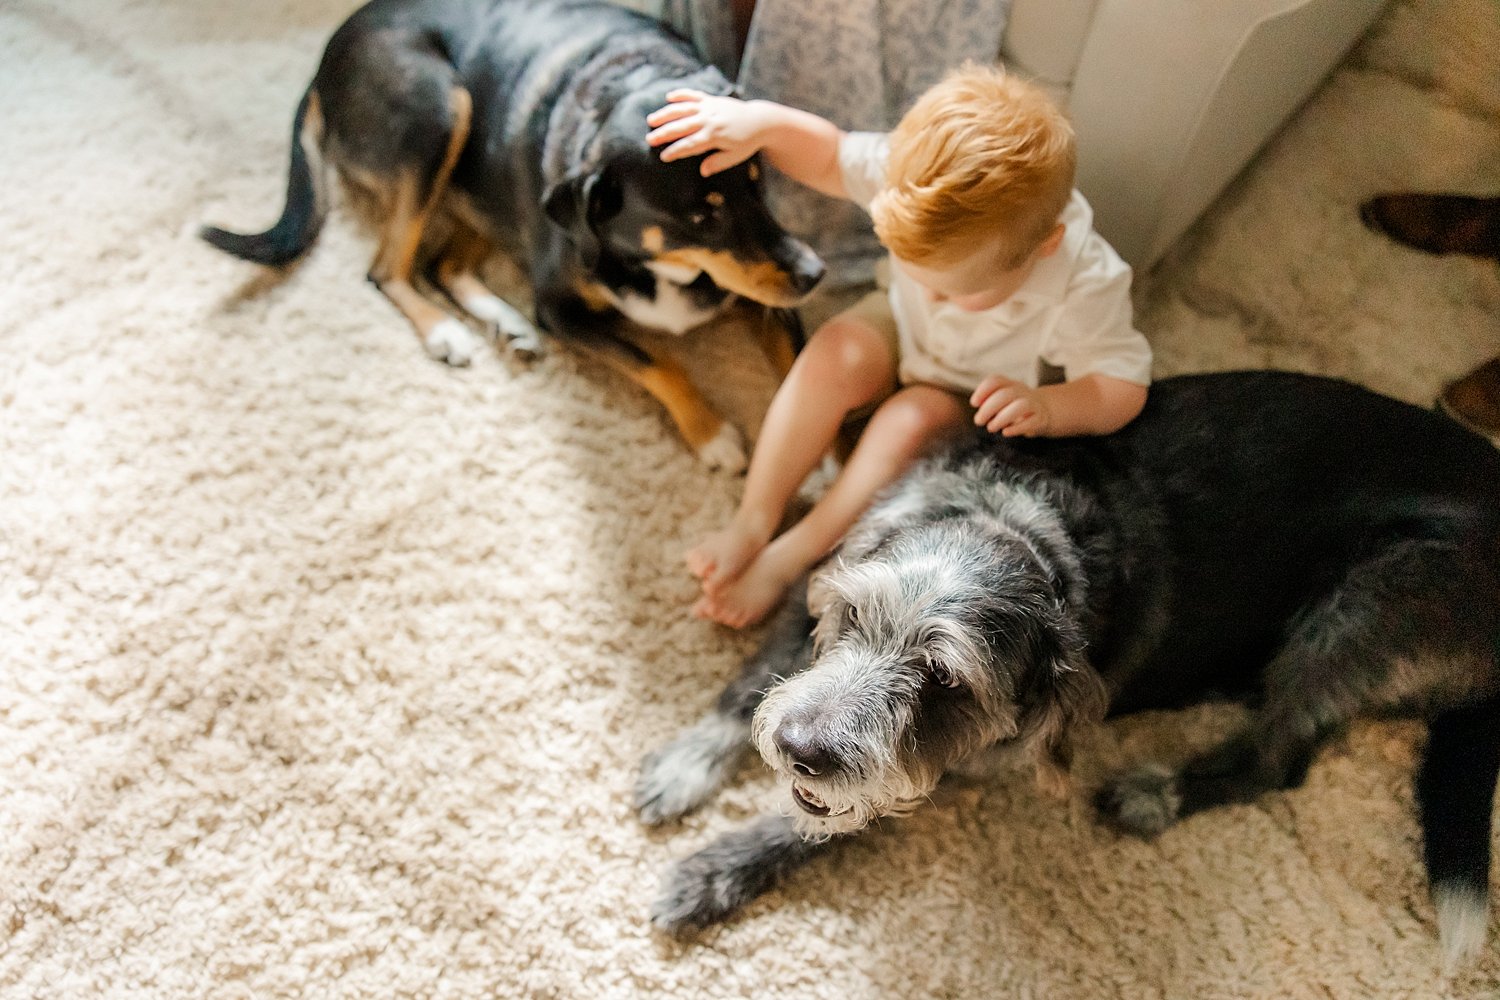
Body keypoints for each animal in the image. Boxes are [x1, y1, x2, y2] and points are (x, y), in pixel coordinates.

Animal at [202, 0, 822, 473]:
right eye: (701, 217)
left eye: (758, 179)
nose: (814, 275)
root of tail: (327, 56)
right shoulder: (559, 308)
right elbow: (656, 361)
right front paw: (712, 433)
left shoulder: (763, 291)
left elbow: (803, 362)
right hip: (438, 107)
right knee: (386, 270)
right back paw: (447, 332)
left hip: (489, 181)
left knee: (444, 265)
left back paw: (503, 320)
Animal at [639, 371, 1500, 971]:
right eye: (852, 617)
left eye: (946, 681)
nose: (799, 749)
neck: (1022, 521)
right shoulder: (823, 585)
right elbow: (750, 683)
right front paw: (684, 767)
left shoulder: (946, 767)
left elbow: (815, 823)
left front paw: (714, 873)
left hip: (1365, 605)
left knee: (1278, 763)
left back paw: (1157, 794)